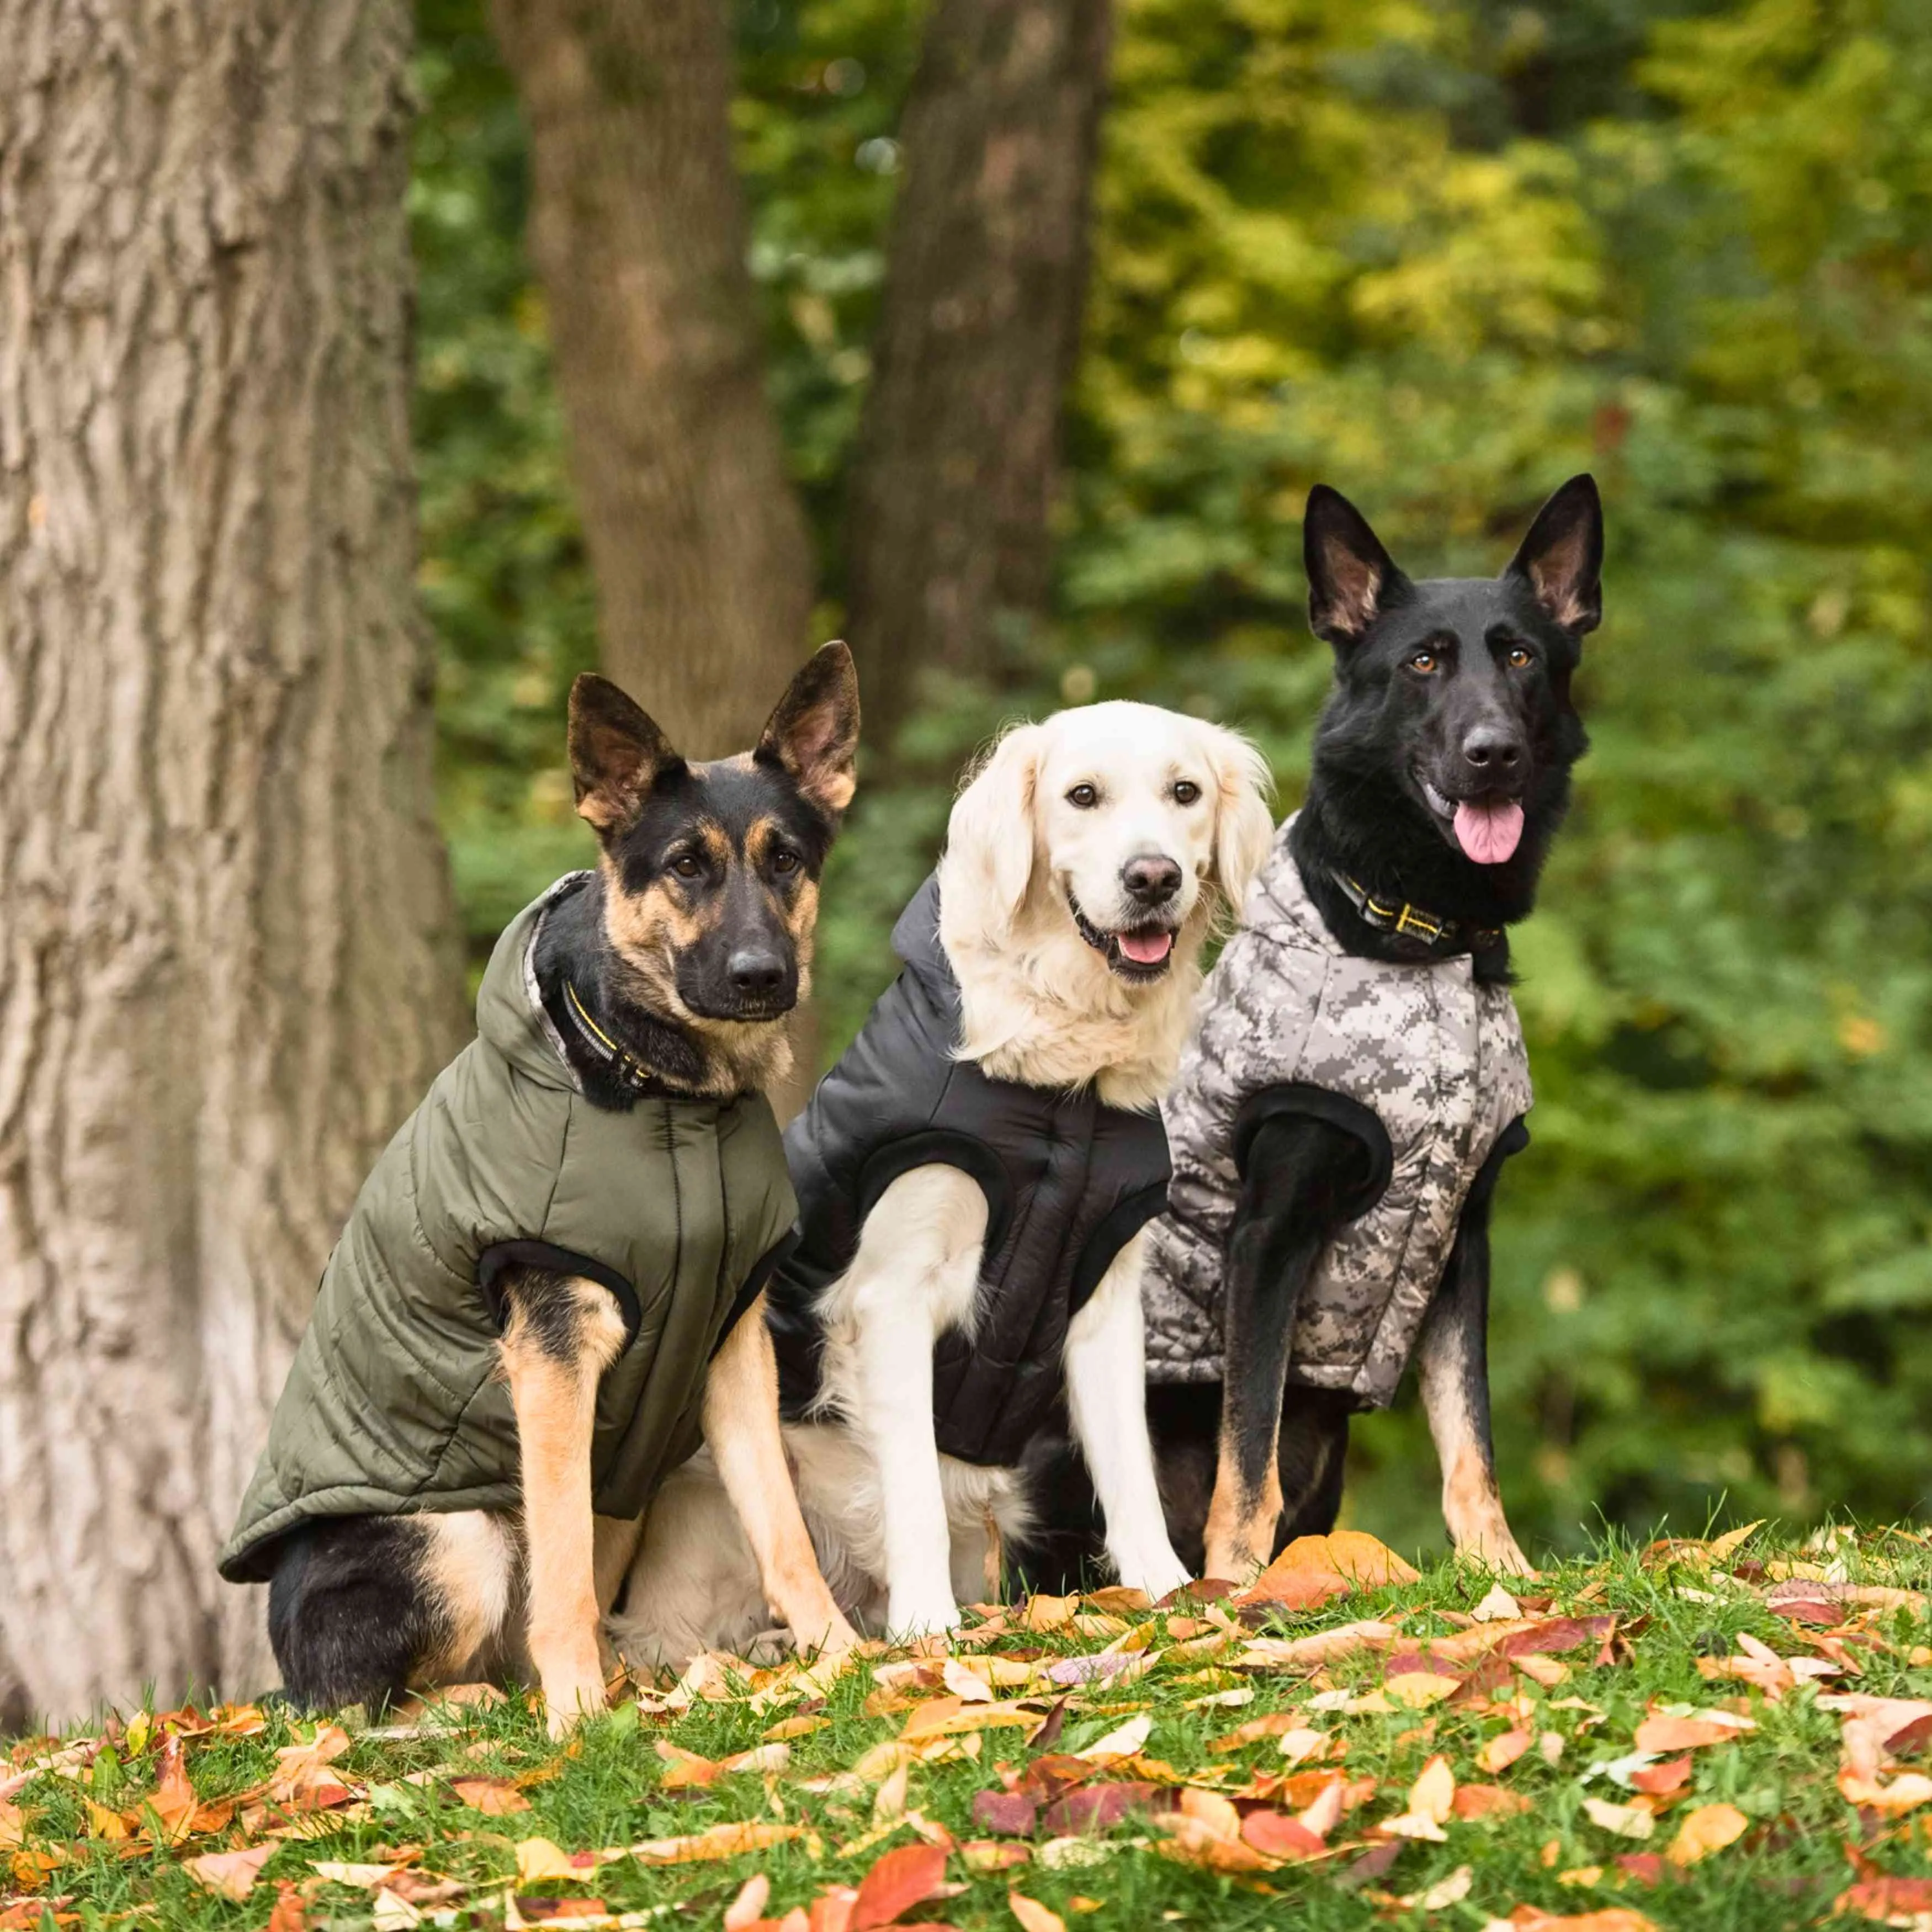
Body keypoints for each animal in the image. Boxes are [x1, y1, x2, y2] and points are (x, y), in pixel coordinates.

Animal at [259, 645, 862, 1723]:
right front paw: (579, 1713)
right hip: (451, 1538)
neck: (670, 1096)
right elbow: (566, 1557)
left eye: (786, 859)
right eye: (685, 865)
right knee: (368, 1705)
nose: (762, 975)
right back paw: (498, 1702)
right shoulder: (554, 1357)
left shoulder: (730, 1346)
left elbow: (782, 1526)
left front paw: (843, 1655)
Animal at [1028, 479, 1600, 1584]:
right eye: (1422, 662)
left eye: (1521, 657)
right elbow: (1248, 1440)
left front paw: (1503, 1576)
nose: (1493, 754)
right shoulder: (1269, 1233)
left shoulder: (1463, 1239)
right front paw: (1236, 1585)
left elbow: (1471, 1438)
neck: (1425, 940)